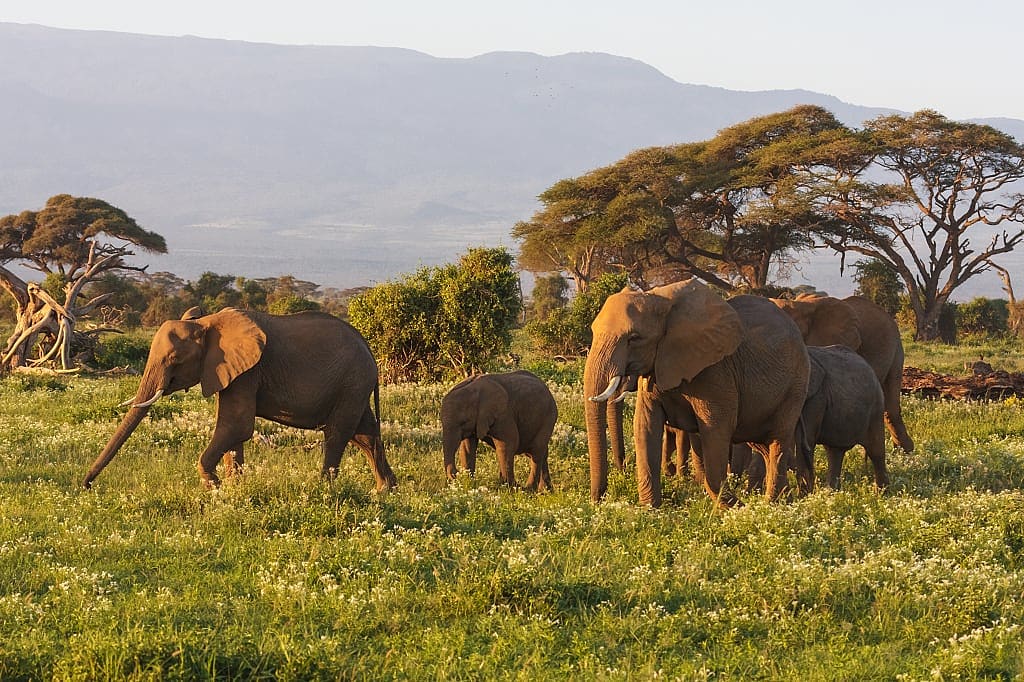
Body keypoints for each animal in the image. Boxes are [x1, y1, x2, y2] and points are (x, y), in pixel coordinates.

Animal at [83, 307, 398, 491]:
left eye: (174, 359)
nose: (86, 485)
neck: (205, 323)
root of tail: (370, 351)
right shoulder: (229, 372)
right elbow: (233, 430)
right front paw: (235, 490)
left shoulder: (248, 371)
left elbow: (237, 425)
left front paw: (214, 486)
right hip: (355, 385)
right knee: (364, 434)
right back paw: (384, 491)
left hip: (353, 380)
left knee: (338, 433)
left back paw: (325, 490)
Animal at [585, 279, 810, 507]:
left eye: (634, 338)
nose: (598, 500)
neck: (661, 300)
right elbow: (645, 426)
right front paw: (650, 509)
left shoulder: (715, 372)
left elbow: (715, 429)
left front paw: (732, 508)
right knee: (763, 444)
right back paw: (783, 500)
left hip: (796, 384)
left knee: (777, 440)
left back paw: (773, 504)